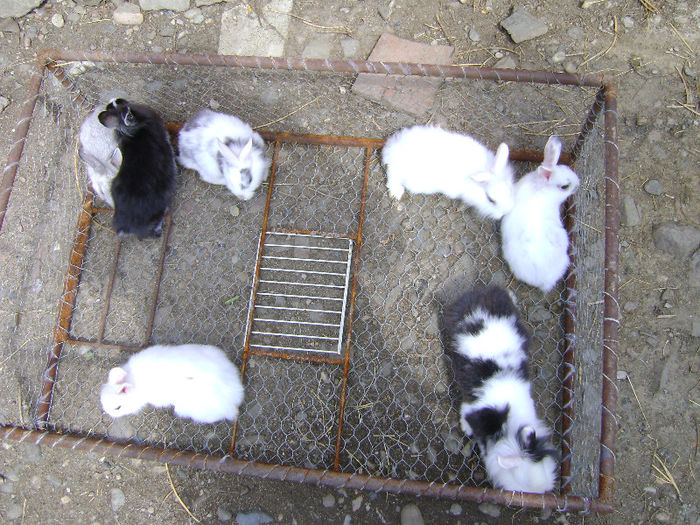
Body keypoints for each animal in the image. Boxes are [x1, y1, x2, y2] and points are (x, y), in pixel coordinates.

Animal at [380, 125, 516, 219]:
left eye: (510, 189)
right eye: (491, 200)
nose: (506, 212)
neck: (485, 167)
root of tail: (392, 147)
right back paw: (396, 192)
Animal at [442, 284, 556, 494]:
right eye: (522, 480)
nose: (542, 490)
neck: (508, 428)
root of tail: (484, 297)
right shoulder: (471, 409)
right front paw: (466, 430)